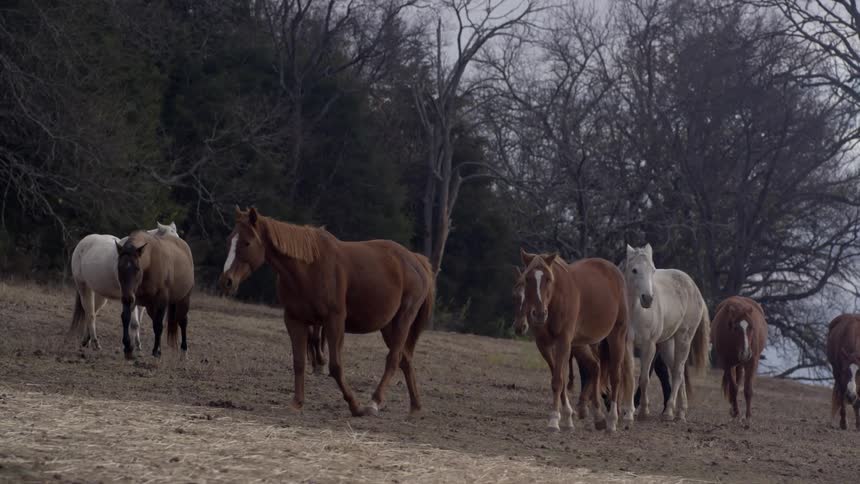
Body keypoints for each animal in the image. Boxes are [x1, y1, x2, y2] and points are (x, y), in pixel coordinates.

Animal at [69, 222, 178, 351]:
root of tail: (82, 243)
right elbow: (134, 323)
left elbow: (138, 323)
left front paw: (138, 345)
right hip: (84, 287)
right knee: (90, 313)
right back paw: (95, 343)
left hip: (100, 293)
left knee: (92, 312)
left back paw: (86, 340)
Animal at [116, 229, 194, 359]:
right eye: (119, 268)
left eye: (137, 268)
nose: (127, 298)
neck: (150, 263)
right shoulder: (132, 297)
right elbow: (126, 318)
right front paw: (128, 347)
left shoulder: (161, 300)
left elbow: (158, 325)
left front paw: (156, 351)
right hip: (150, 307)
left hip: (184, 299)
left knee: (183, 321)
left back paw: (184, 351)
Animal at [219, 207, 435, 417]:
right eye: (229, 241)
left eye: (247, 243)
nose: (227, 281)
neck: (308, 268)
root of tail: (416, 260)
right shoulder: (294, 320)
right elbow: (299, 362)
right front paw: (297, 403)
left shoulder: (334, 321)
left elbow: (335, 366)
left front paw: (355, 406)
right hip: (388, 326)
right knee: (405, 359)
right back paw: (415, 407)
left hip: (403, 319)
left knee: (393, 359)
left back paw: (374, 403)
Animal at [516, 249, 634, 432]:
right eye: (527, 279)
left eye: (548, 279)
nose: (539, 314)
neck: (555, 299)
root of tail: (615, 271)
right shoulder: (544, 345)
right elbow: (560, 379)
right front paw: (567, 417)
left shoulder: (563, 342)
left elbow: (558, 380)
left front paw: (554, 421)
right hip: (586, 343)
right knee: (596, 367)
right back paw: (598, 416)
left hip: (617, 336)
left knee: (616, 376)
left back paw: (612, 420)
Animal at [622, 244, 710, 422]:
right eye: (634, 270)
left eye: (653, 270)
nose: (648, 299)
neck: (636, 312)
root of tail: (694, 288)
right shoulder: (628, 344)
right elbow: (630, 377)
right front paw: (628, 413)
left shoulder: (649, 346)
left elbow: (644, 379)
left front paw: (643, 411)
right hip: (667, 344)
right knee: (677, 371)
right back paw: (681, 412)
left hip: (683, 339)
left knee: (677, 373)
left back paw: (669, 412)